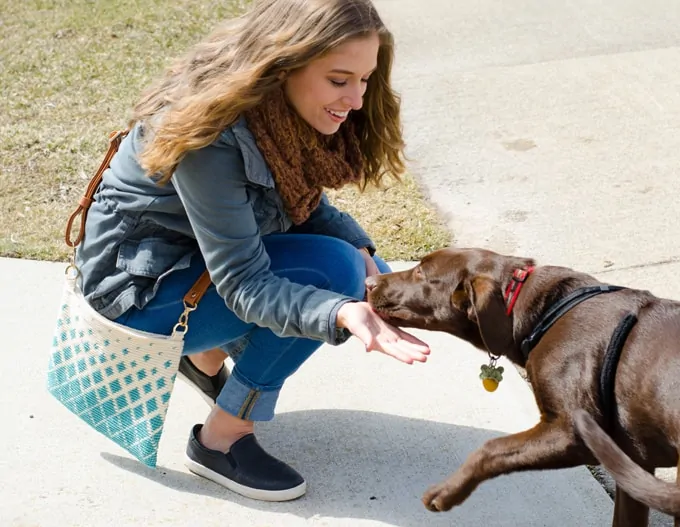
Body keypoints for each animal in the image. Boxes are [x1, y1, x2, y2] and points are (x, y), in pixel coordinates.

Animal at [370, 249, 680, 527]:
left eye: (421, 272)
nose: (369, 282)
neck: (545, 311)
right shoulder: (633, 466)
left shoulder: (572, 434)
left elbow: (491, 448)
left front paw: (447, 492)